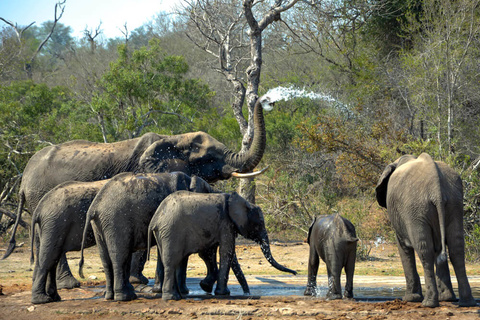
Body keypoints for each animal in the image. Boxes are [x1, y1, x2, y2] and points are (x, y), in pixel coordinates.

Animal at [77, 171, 249, 302]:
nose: (247, 293)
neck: (192, 181)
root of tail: (95, 206)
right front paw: (180, 292)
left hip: (100, 224)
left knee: (106, 259)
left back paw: (111, 296)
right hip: (116, 220)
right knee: (120, 256)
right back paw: (125, 297)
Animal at [147, 191, 296, 302]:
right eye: (259, 224)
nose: (247, 294)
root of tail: (155, 219)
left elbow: (210, 253)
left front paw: (206, 287)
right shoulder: (226, 223)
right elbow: (227, 251)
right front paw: (223, 293)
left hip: (163, 233)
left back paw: (178, 296)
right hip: (171, 231)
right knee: (171, 262)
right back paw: (171, 298)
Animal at [376, 152, 476, 308]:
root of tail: (436, 188)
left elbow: (404, 248)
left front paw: (410, 299)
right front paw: (447, 298)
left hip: (415, 209)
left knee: (424, 250)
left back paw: (428, 303)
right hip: (454, 203)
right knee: (456, 248)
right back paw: (466, 302)